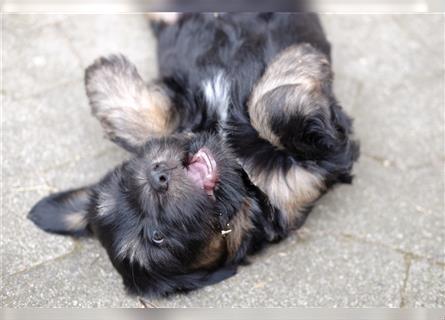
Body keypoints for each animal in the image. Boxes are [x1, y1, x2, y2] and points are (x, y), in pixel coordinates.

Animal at [27, 13, 360, 298]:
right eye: (157, 236)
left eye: (125, 183)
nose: (157, 176)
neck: (238, 169)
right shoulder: (312, 174)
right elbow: (274, 107)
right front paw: (301, 59)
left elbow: (153, 125)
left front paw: (105, 75)